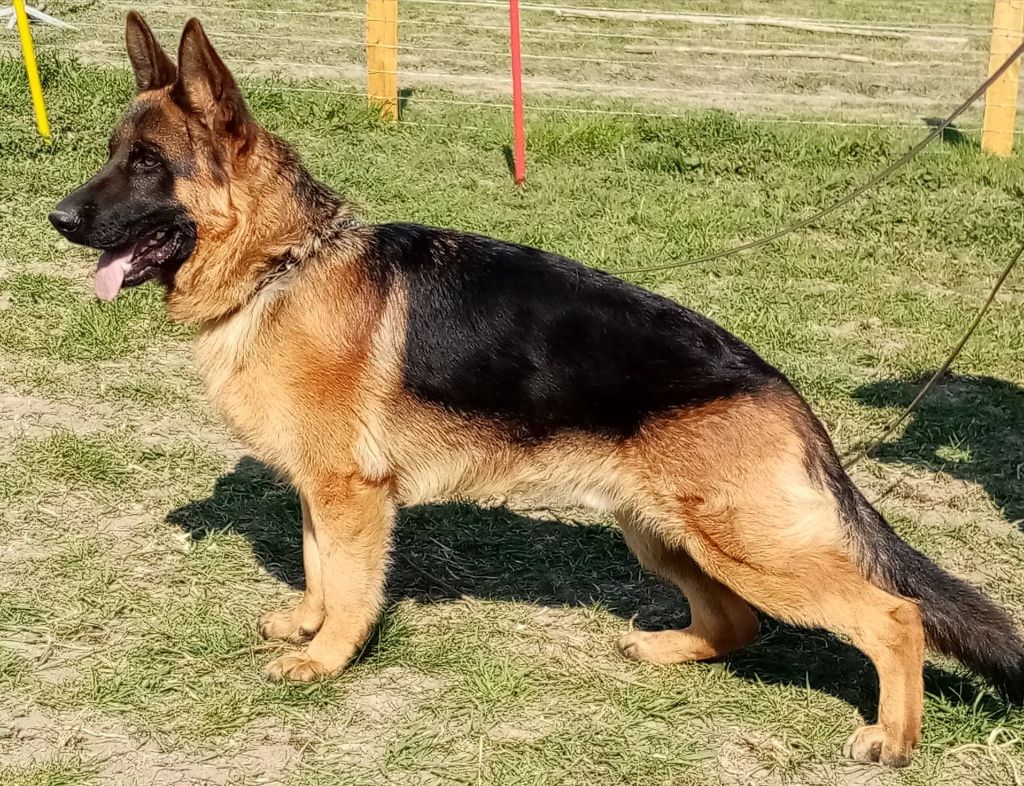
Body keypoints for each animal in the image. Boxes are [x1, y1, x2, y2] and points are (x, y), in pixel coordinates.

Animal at [51, 12, 1024, 769]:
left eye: (147, 164)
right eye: (111, 155)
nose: (55, 218)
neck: (284, 264)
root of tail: (779, 386)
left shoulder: (353, 497)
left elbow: (353, 585)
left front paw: (327, 660)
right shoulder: (323, 495)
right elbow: (320, 566)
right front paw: (309, 626)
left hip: (745, 544)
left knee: (893, 614)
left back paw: (893, 738)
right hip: (664, 535)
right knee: (738, 625)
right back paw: (670, 648)